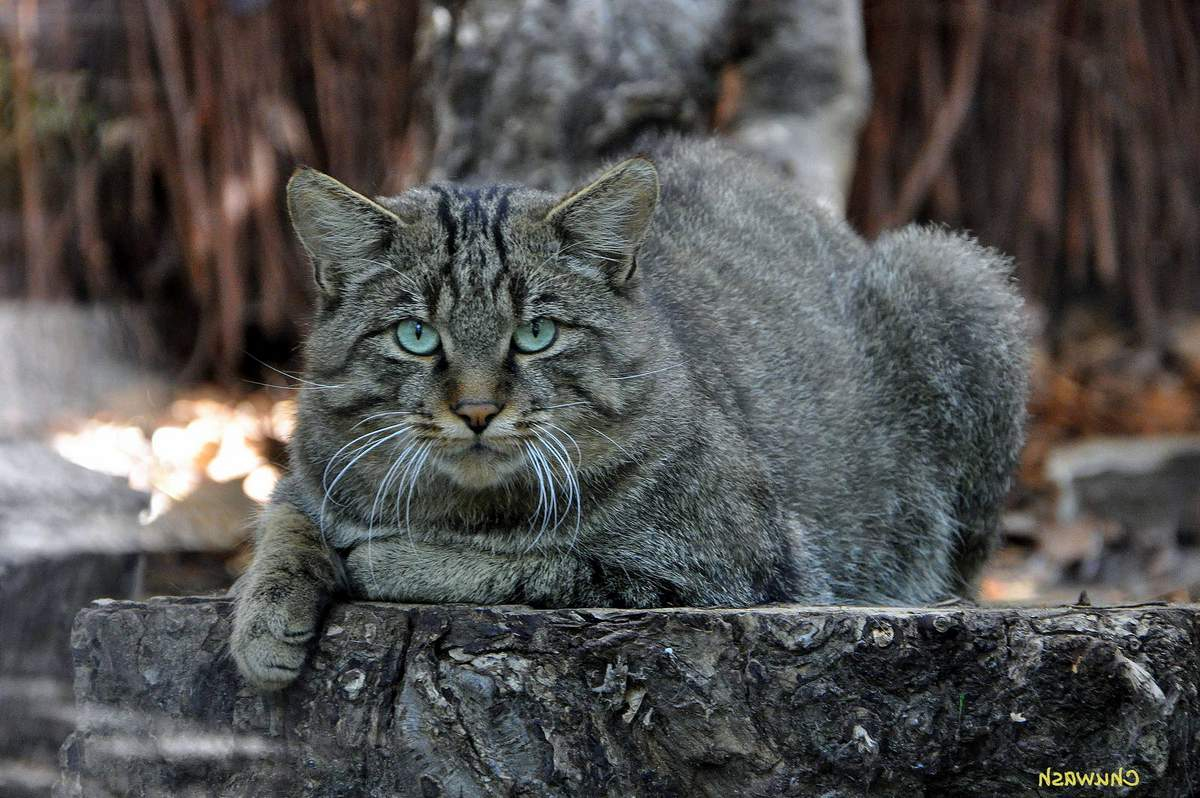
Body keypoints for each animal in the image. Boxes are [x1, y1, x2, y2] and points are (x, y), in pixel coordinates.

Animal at [229, 138, 1027, 691]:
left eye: (536, 333)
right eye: (417, 336)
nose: (478, 410)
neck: (460, 505)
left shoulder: (725, 568)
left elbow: (535, 564)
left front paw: (390, 557)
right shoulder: (310, 467)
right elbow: (285, 522)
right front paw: (263, 615)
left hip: (956, 276)